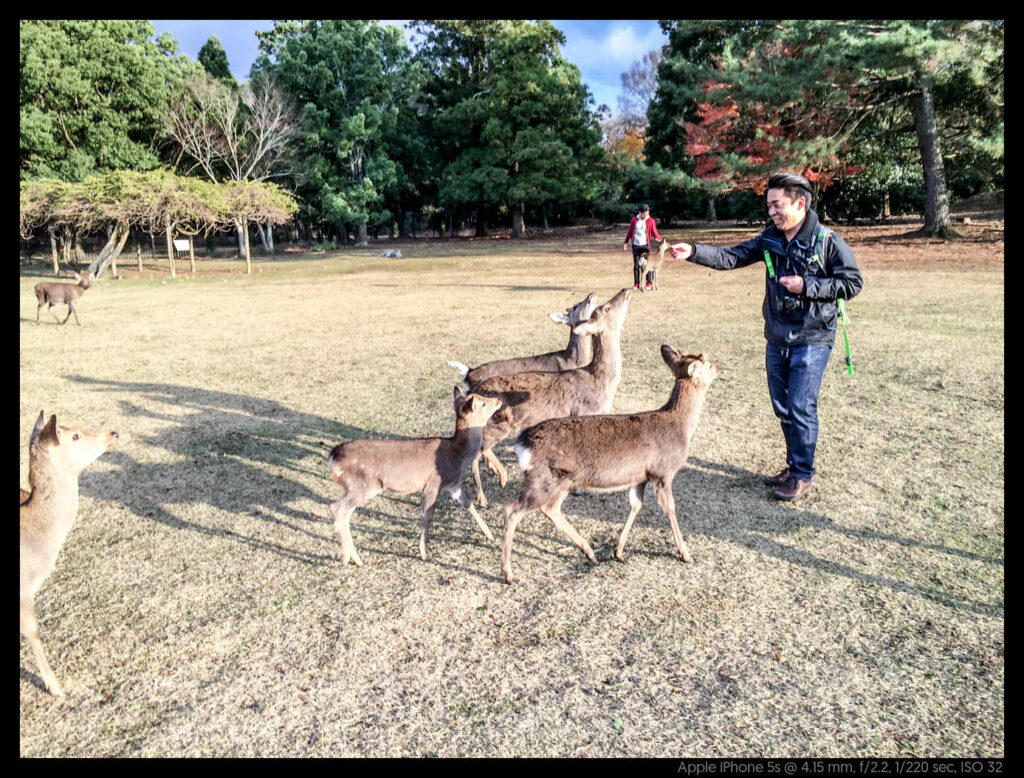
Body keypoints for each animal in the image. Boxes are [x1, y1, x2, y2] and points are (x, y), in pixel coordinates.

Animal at [327, 386, 503, 565]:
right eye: (483, 403)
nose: (498, 400)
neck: (457, 456)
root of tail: (333, 457)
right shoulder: (432, 484)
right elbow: (428, 515)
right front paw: (424, 553)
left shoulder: (453, 484)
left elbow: (468, 504)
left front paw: (490, 535)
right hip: (364, 484)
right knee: (336, 507)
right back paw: (348, 558)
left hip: (356, 487)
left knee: (346, 513)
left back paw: (354, 558)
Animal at [466, 286, 630, 503]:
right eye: (607, 308)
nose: (625, 290)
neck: (599, 384)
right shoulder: (583, 413)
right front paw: (579, 489)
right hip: (497, 425)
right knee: (475, 453)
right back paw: (487, 494)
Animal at [499, 346, 716, 581]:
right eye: (706, 361)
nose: (718, 368)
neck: (681, 427)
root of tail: (521, 445)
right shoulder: (662, 472)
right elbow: (671, 509)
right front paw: (686, 554)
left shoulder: (640, 477)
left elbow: (636, 505)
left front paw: (618, 551)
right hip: (543, 479)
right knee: (512, 510)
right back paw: (508, 573)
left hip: (561, 481)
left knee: (550, 509)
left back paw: (590, 552)